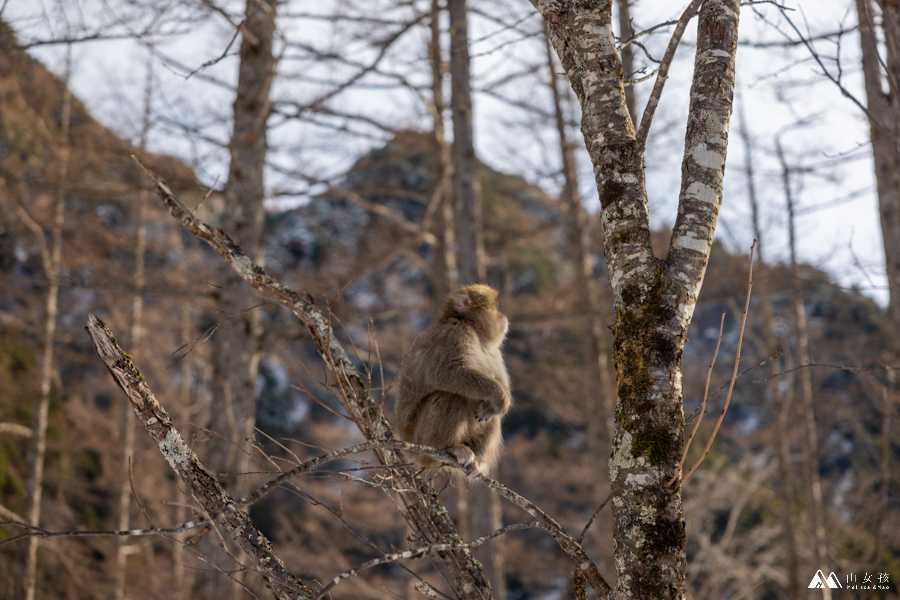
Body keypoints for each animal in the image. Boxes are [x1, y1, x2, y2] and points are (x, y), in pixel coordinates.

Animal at [396, 284, 512, 476]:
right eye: (495, 306)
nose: (503, 315)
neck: (476, 333)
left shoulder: (495, 353)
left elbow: (499, 383)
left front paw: (501, 400)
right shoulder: (455, 334)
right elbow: (447, 372)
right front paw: (499, 395)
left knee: (492, 414)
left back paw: (478, 460)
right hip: (421, 439)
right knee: (450, 395)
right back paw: (449, 446)